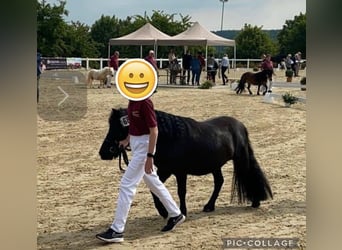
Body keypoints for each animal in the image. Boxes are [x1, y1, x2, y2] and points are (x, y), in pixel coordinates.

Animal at [99, 108, 272, 218]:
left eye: (118, 127)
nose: (103, 152)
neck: (170, 137)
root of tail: (240, 125)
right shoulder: (165, 170)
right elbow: (156, 190)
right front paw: (164, 212)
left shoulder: (180, 172)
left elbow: (181, 192)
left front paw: (182, 211)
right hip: (215, 165)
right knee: (219, 182)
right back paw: (209, 206)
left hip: (240, 158)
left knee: (248, 174)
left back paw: (255, 201)